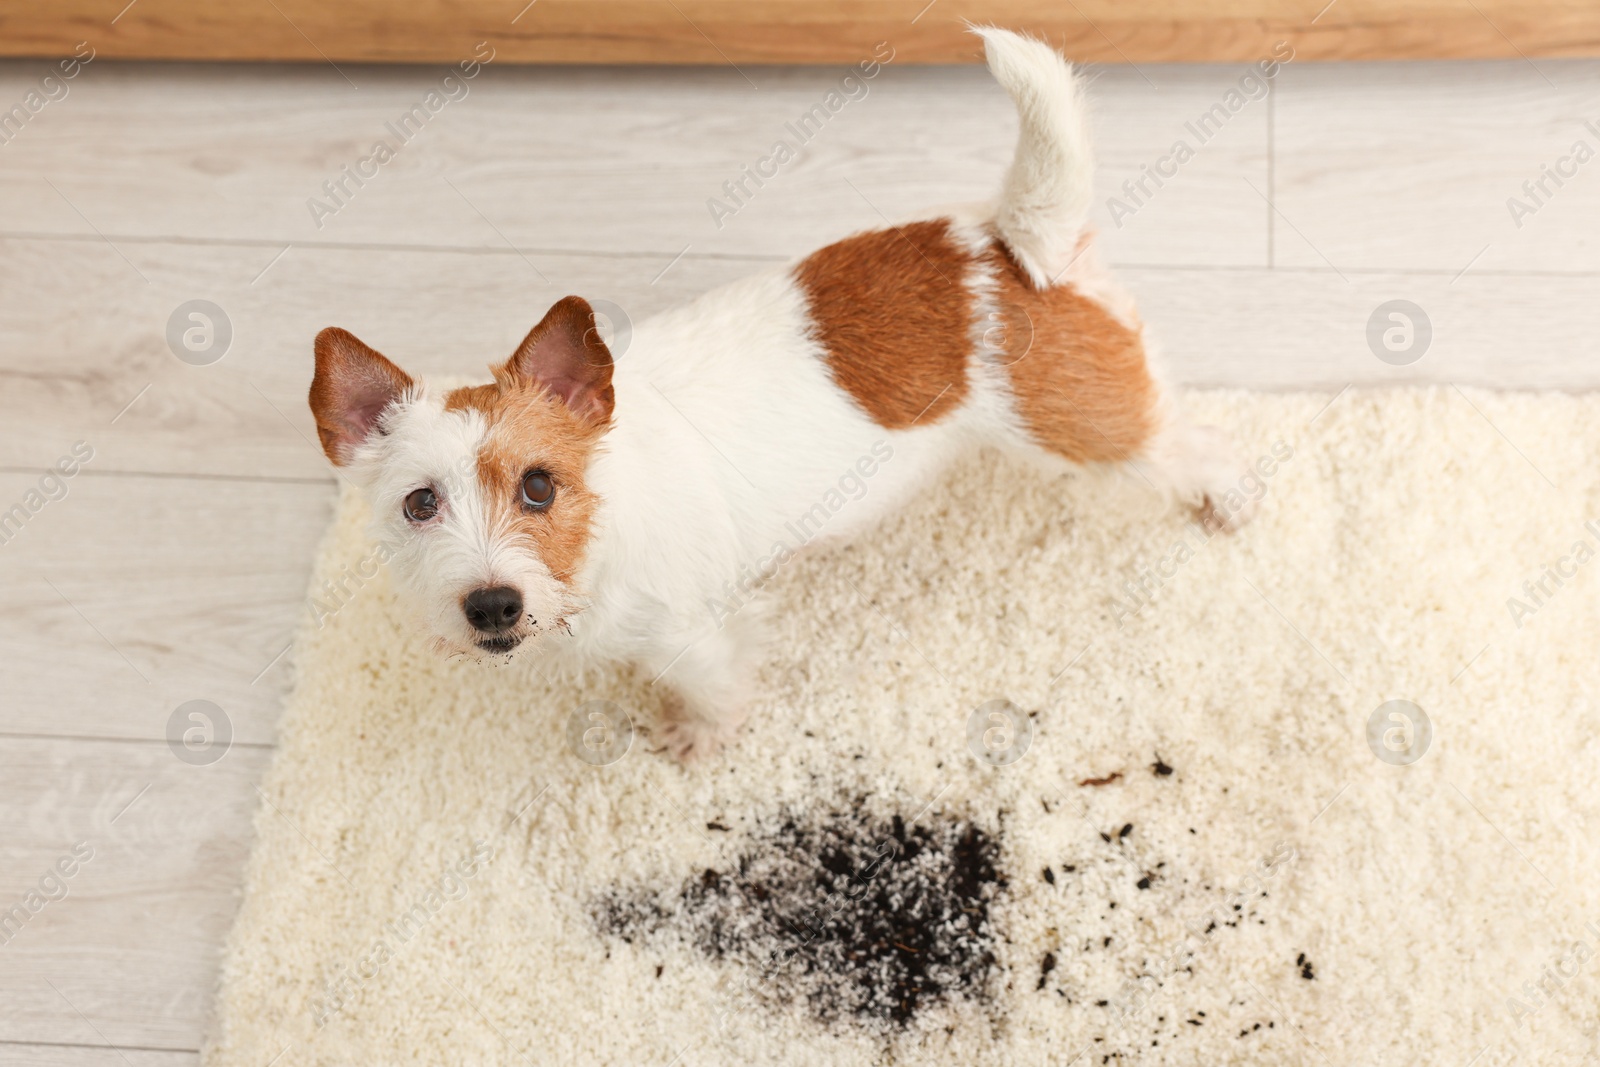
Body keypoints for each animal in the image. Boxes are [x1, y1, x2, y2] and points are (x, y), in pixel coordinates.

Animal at [302, 29, 1248, 764]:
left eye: (539, 485)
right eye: (419, 503)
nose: (491, 605)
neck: (605, 520)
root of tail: (1002, 239)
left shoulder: (688, 636)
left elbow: (712, 686)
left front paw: (700, 737)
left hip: (1092, 427)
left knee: (1191, 443)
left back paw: (1227, 498)